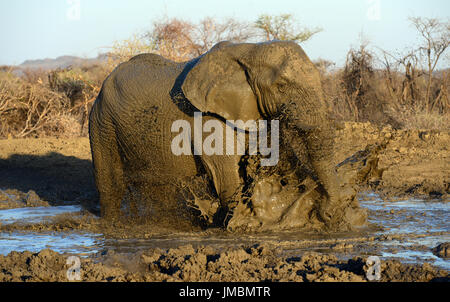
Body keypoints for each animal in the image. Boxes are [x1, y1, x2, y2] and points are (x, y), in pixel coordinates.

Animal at [88, 40, 342, 229]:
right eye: (281, 86)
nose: (327, 215)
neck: (249, 50)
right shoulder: (205, 117)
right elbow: (226, 175)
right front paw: (242, 225)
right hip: (102, 124)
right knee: (111, 184)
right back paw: (111, 225)